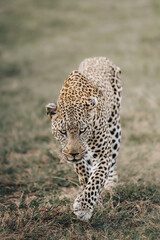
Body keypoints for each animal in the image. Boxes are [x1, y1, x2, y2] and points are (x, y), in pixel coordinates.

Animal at [45, 56, 122, 221]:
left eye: (83, 130)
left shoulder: (102, 154)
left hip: (114, 125)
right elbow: (86, 177)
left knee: (112, 159)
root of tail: (98, 57)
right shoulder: (78, 158)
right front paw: (94, 203)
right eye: (63, 132)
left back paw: (111, 183)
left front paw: (84, 207)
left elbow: (97, 178)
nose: (73, 154)